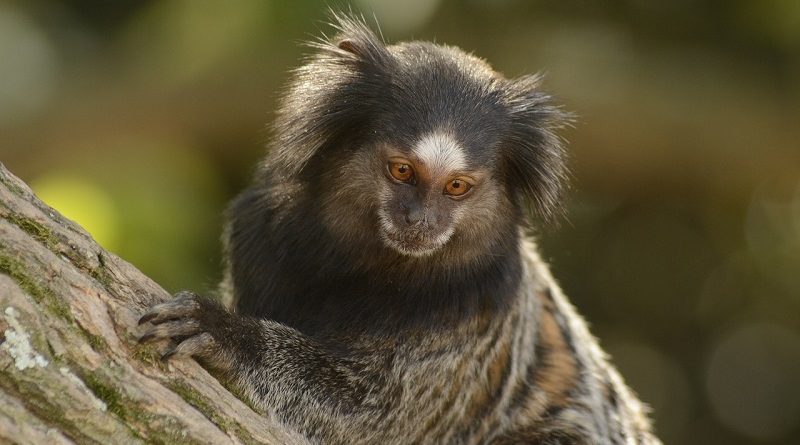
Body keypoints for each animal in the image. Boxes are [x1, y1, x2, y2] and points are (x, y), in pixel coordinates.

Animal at [139, 12, 664, 442]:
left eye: (456, 186)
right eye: (401, 171)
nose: (420, 220)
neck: (358, 265)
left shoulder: (477, 309)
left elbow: (375, 415)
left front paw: (228, 334)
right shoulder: (259, 233)